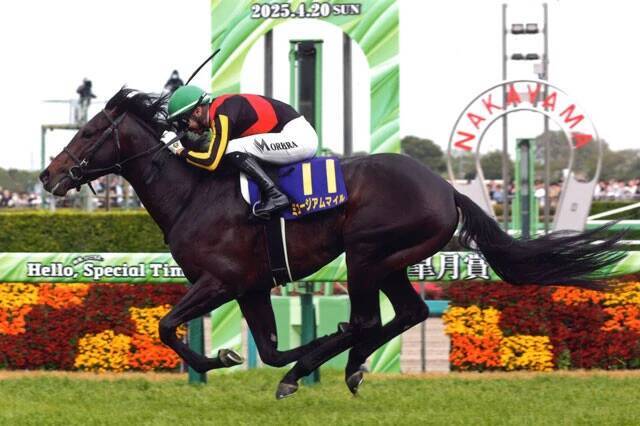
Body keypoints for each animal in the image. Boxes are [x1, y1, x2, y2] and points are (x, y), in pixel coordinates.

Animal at [40, 89, 624, 399]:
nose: (49, 176)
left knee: (369, 318)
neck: (192, 194)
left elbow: (166, 326)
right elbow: (269, 348)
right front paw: (258, 357)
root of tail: (447, 188)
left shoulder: (221, 280)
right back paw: (346, 366)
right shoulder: (251, 286)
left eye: (89, 132)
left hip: (365, 253)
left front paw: (226, 359)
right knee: (407, 313)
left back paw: (332, 362)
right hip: (391, 260)